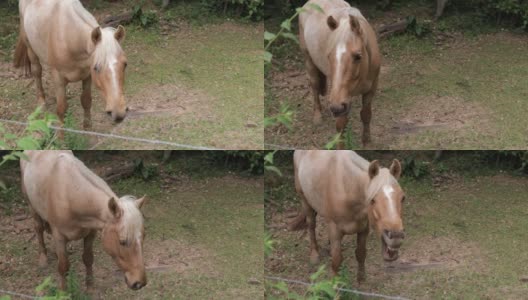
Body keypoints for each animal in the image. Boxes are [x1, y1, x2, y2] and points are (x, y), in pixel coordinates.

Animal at [13, 0, 129, 131]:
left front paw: (87, 128)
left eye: (125, 64)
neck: (70, 39)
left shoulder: (87, 76)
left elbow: (86, 101)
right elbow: (61, 109)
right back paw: (41, 103)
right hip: (30, 48)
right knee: (37, 72)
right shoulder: (59, 79)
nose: (118, 113)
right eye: (96, 67)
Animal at [20, 151, 146, 292]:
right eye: (122, 241)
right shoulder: (59, 237)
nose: (139, 283)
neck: (70, 195)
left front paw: (90, 287)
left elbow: (88, 259)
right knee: (38, 228)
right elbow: (63, 267)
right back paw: (43, 258)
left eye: (143, 237)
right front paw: (63, 292)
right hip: (31, 206)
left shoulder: (90, 234)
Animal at [290, 151, 406, 282]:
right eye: (372, 200)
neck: (348, 189)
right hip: (305, 201)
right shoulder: (335, 231)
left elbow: (361, 254)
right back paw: (314, 255)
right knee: (311, 225)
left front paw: (361, 280)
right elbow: (336, 261)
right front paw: (336, 286)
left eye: (403, 198)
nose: (396, 236)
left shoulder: (363, 229)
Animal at [296, 0, 380, 148]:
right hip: (308, 60)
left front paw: (367, 142)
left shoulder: (370, 89)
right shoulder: (340, 99)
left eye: (358, 56)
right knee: (314, 86)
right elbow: (341, 125)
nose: (335, 108)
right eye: (329, 56)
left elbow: (366, 115)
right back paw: (317, 116)